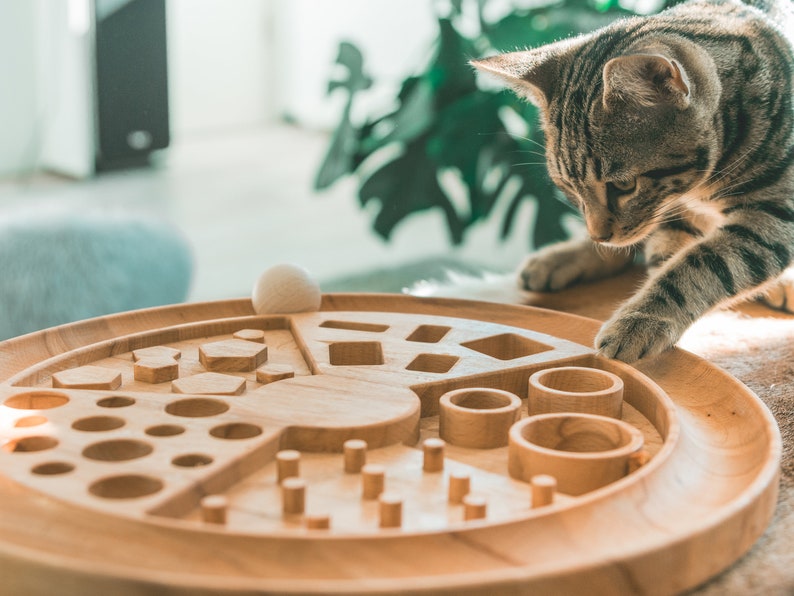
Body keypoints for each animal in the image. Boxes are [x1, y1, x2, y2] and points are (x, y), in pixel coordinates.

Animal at [470, 0, 792, 360]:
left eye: (624, 186)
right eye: (569, 188)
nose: (599, 235)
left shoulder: (774, 215)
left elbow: (701, 263)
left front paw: (642, 318)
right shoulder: (673, 212)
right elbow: (664, 258)